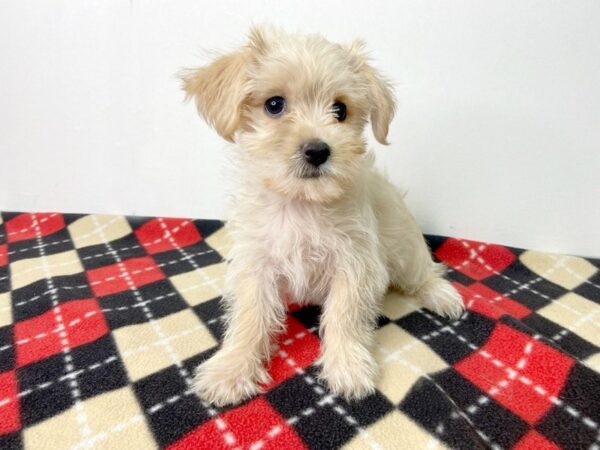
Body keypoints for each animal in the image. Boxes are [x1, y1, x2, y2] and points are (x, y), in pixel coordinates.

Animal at [182, 26, 464, 406]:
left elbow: (344, 314)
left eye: (340, 109)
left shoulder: (354, 263)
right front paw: (232, 368)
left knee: (424, 272)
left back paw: (442, 296)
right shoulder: (257, 265)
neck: (301, 203)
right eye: (274, 104)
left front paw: (347, 366)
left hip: (405, 247)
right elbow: (250, 317)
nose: (318, 150)